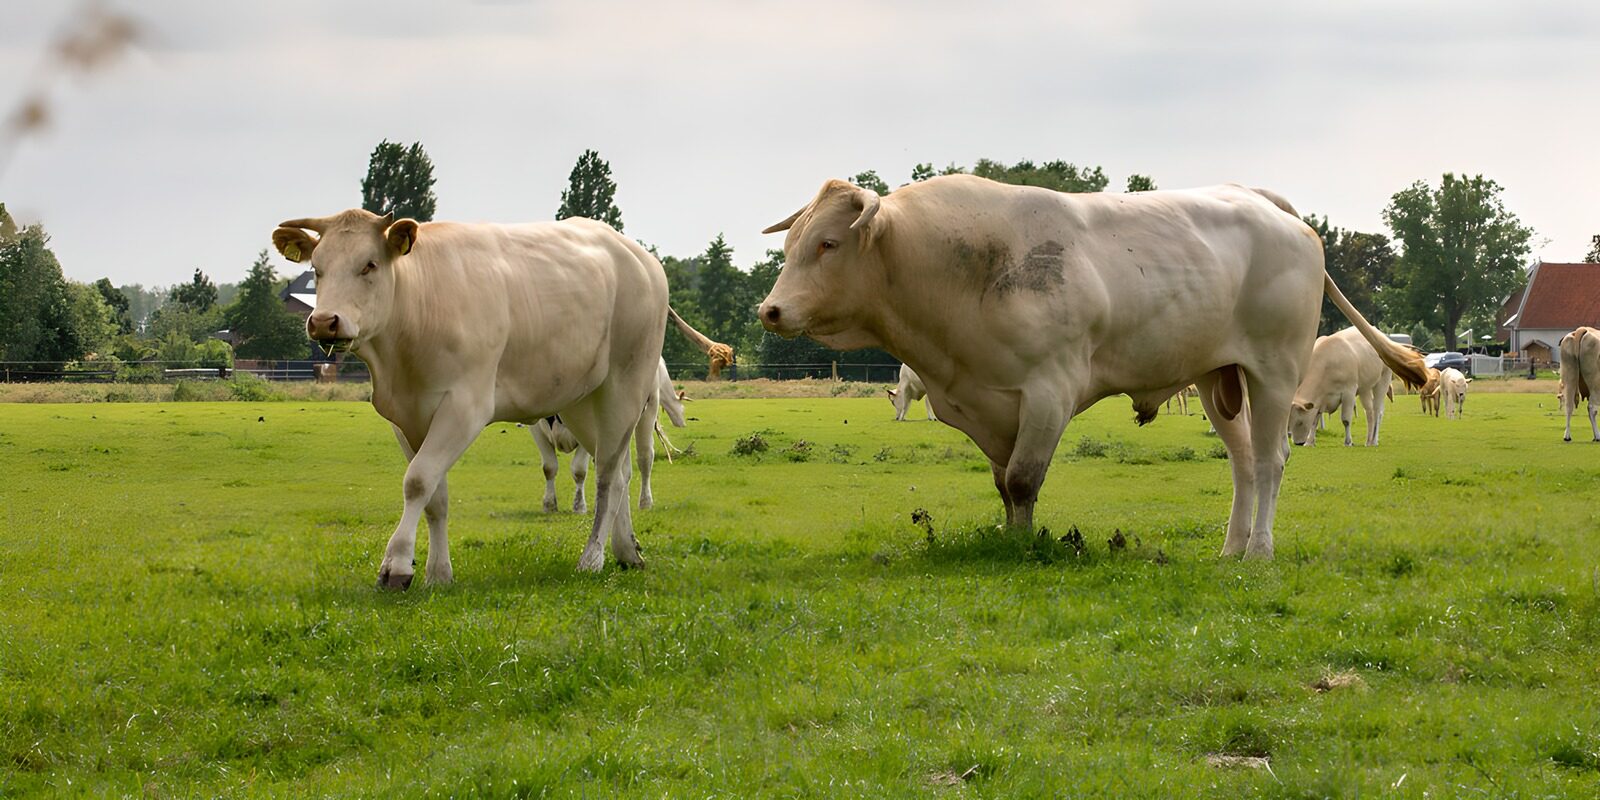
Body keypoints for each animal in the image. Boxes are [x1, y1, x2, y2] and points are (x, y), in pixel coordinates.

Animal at [271, 208, 668, 587]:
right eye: (317, 268)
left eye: (369, 264)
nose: (323, 321)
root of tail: (639, 257)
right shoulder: (406, 419)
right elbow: (435, 495)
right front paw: (437, 573)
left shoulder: (464, 408)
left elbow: (417, 481)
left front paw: (396, 565)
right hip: (581, 401)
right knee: (619, 471)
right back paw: (626, 550)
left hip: (625, 385)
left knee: (607, 476)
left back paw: (592, 557)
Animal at [533, 357, 688, 512]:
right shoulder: (536, 428)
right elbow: (549, 467)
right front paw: (549, 505)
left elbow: (579, 469)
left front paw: (579, 506)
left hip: (649, 409)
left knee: (645, 457)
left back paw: (645, 502)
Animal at [756, 175, 1425, 559]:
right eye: (791, 245)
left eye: (828, 244)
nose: (770, 309)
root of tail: (1268, 206)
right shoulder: (988, 402)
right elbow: (1004, 485)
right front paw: (1012, 537)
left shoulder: (1048, 391)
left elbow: (1023, 481)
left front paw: (1023, 548)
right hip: (1218, 379)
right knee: (1242, 465)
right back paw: (1230, 549)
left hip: (1273, 371)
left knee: (1271, 460)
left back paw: (1259, 551)